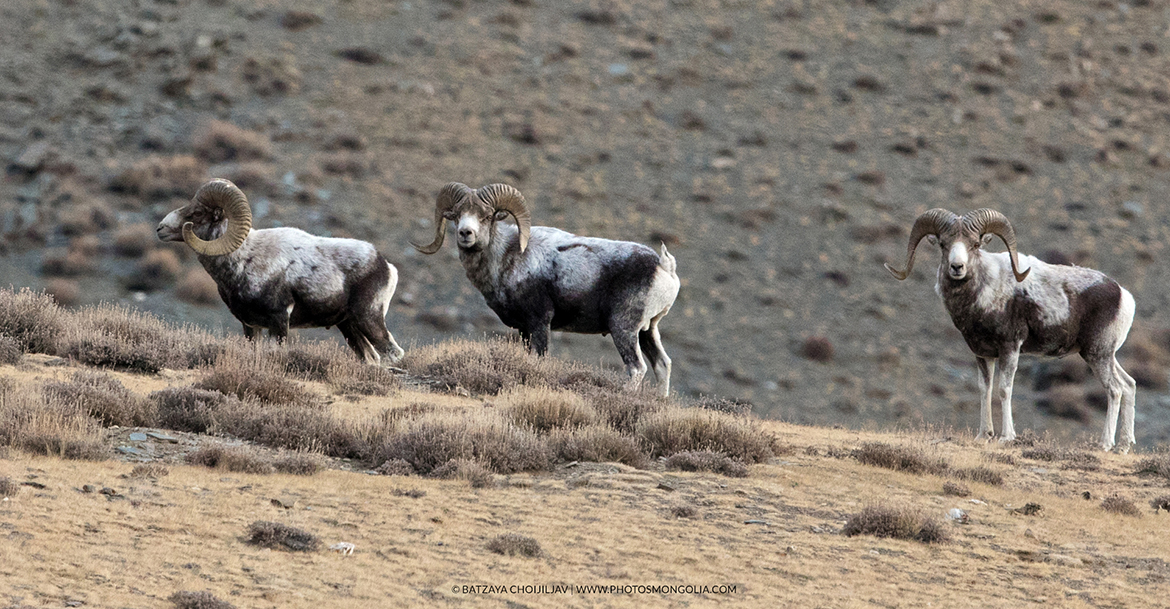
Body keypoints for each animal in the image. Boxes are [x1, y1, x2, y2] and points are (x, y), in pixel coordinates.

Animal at [155, 177, 404, 362]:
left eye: (197, 213)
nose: (160, 228)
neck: (244, 261)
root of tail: (386, 266)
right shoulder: (251, 326)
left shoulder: (279, 321)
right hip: (349, 327)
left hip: (369, 319)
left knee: (392, 354)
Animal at [414, 182, 683, 397]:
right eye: (458, 215)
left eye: (486, 216)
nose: (465, 233)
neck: (507, 257)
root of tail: (663, 266)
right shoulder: (524, 329)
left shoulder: (540, 322)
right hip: (647, 331)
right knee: (662, 364)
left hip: (624, 329)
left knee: (637, 368)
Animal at [884, 209, 1132, 451]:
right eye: (944, 244)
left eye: (975, 244)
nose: (957, 267)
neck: (984, 294)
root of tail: (1123, 296)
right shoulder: (983, 354)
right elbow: (985, 389)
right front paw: (984, 436)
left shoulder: (1010, 348)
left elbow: (1004, 389)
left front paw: (1006, 437)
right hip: (1106, 356)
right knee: (1129, 385)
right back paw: (1124, 446)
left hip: (1096, 354)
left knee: (1115, 390)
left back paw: (1105, 445)